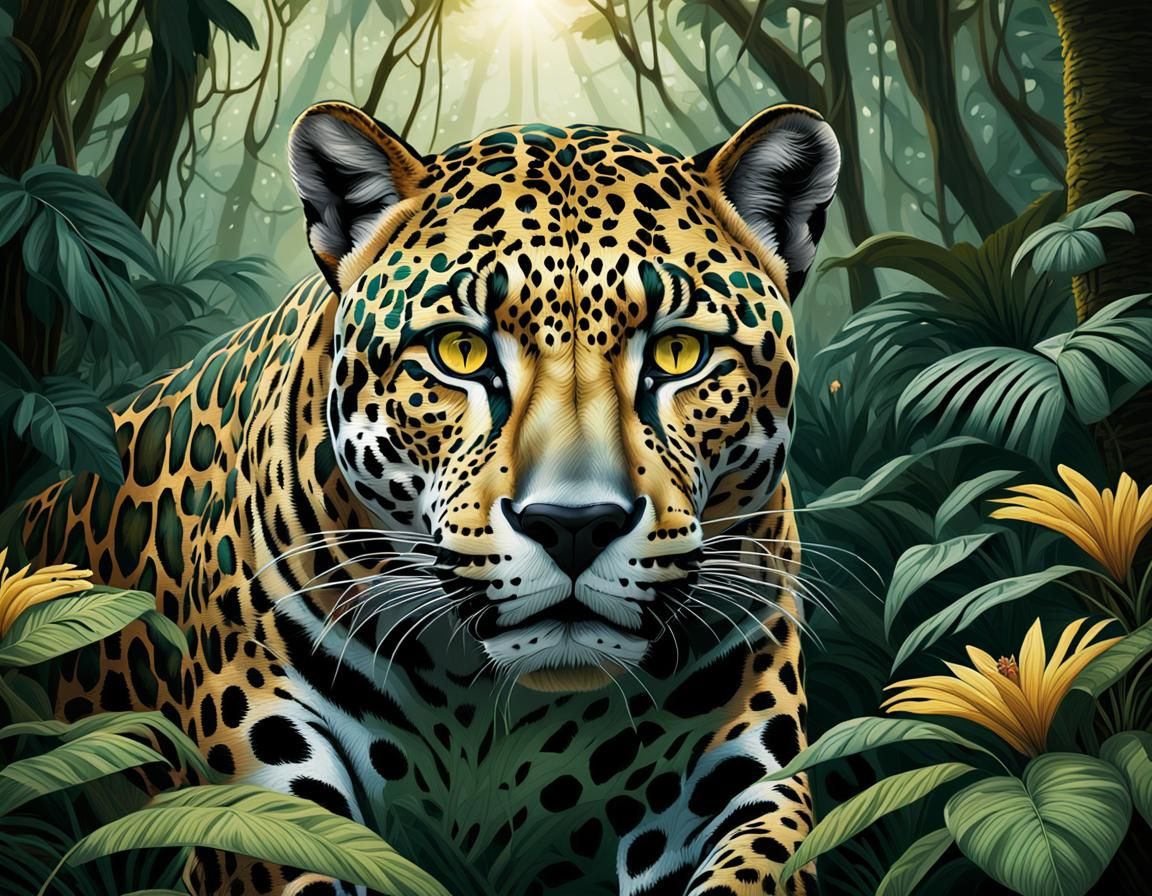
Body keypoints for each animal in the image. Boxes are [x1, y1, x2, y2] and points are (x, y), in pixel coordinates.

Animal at [22, 100, 840, 896]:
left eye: (679, 353)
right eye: (461, 353)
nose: (573, 525)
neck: (495, 709)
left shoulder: (747, 771)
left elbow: (757, 867)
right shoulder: (261, 772)